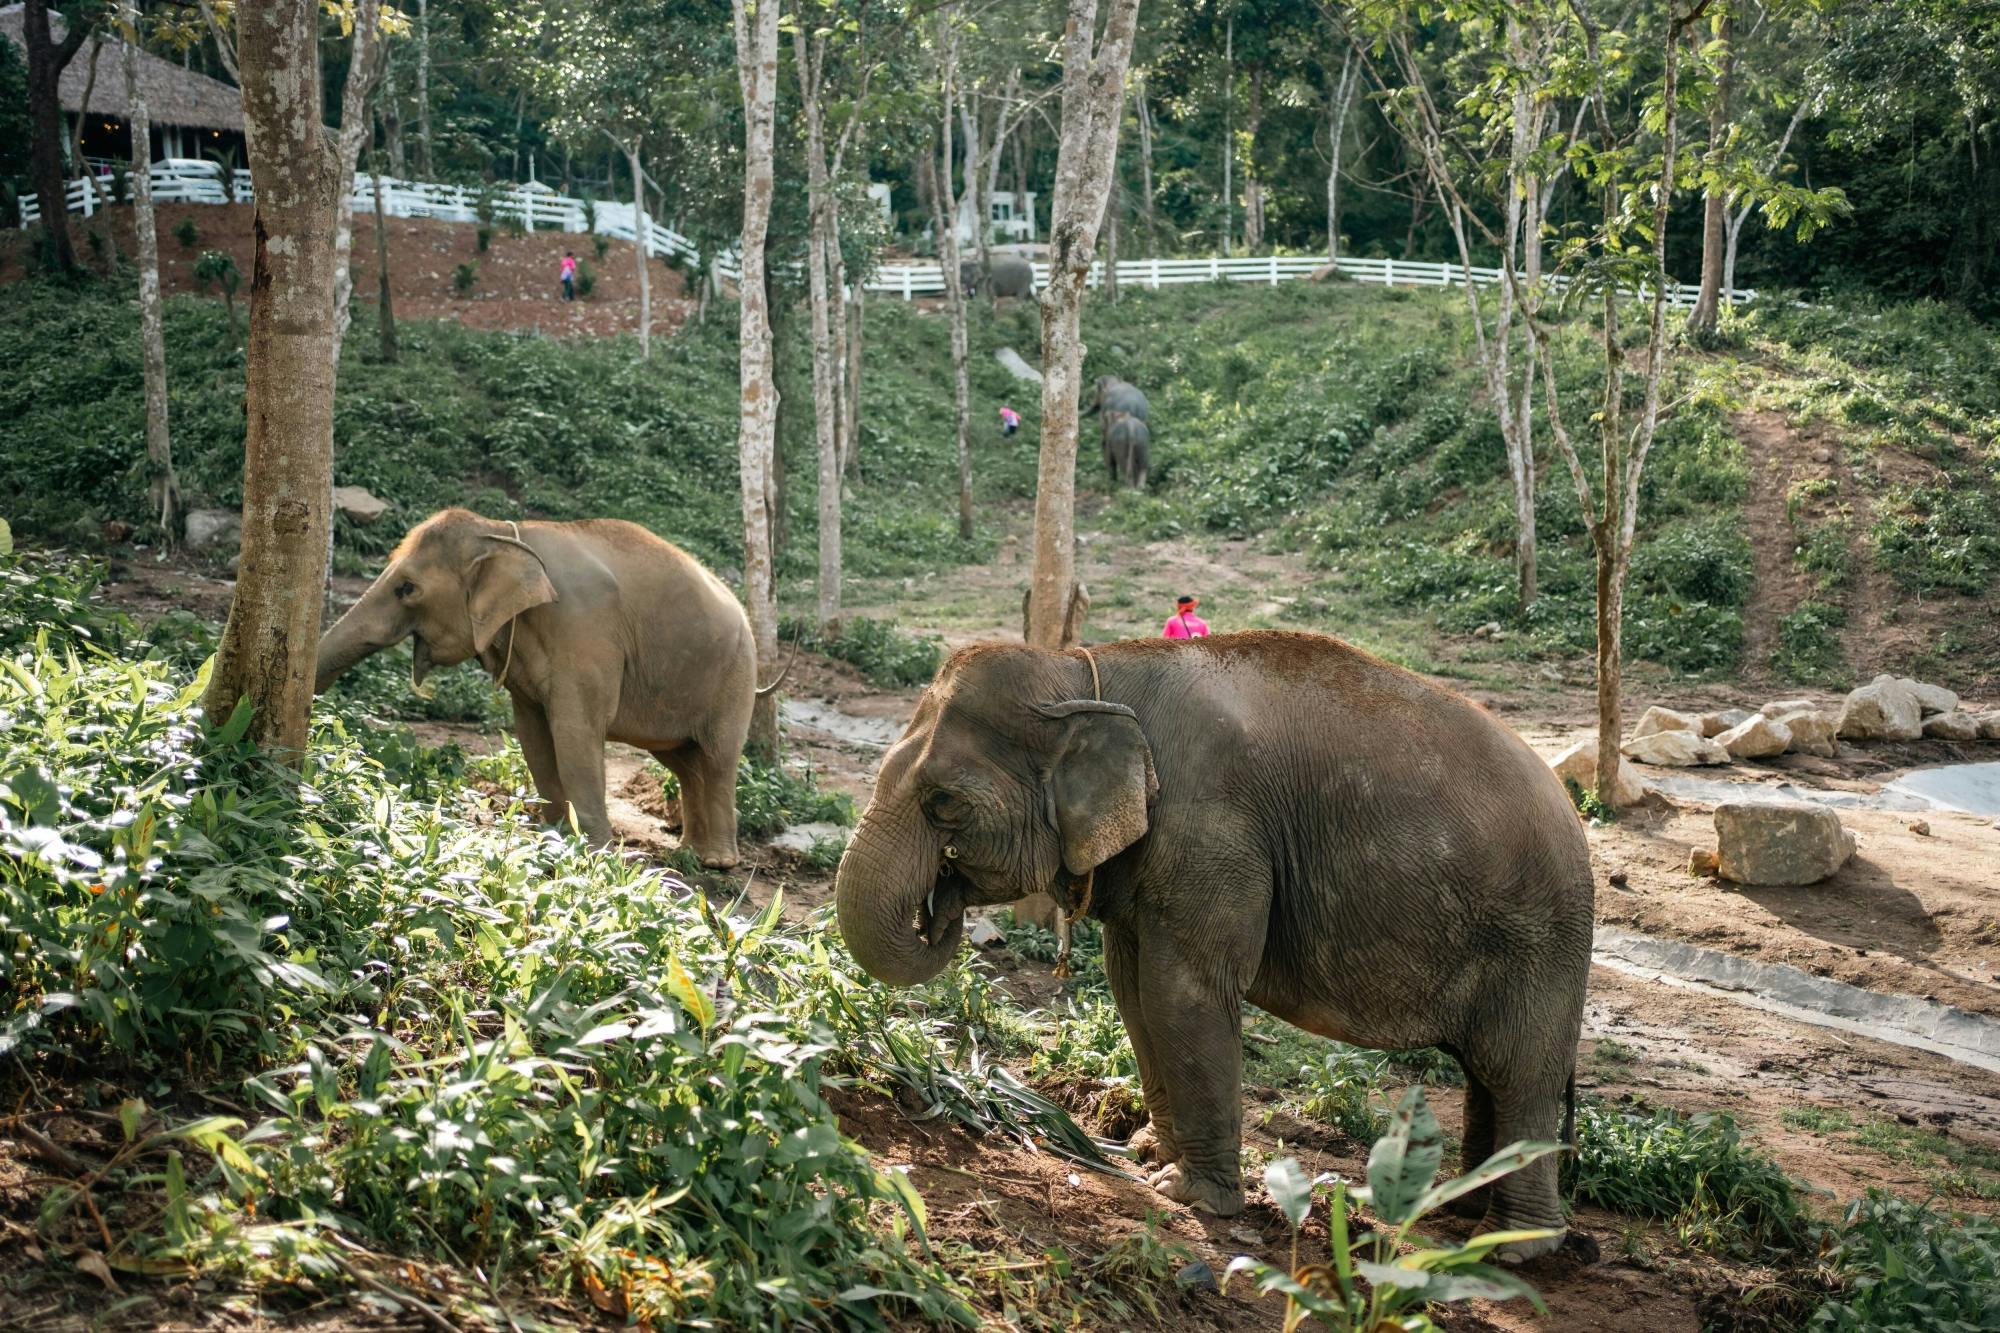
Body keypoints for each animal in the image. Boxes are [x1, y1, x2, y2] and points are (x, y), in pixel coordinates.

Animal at [314, 508, 775, 867]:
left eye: (406, 589)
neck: (505, 531)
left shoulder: (584, 631)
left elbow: (575, 734)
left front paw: (594, 855)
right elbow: (533, 737)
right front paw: (553, 839)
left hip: (736, 675)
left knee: (718, 759)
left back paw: (717, 862)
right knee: (684, 762)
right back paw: (687, 853)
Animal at [834, 632, 1593, 1260]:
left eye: (944, 803)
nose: (939, 906)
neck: (1087, 669)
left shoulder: (1212, 832)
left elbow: (1183, 992)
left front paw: (1190, 1197)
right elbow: (1132, 986)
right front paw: (1147, 1153)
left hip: (1540, 940)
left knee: (1518, 1072)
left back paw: (1512, 1248)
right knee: (1485, 1074)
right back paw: (1460, 1217)